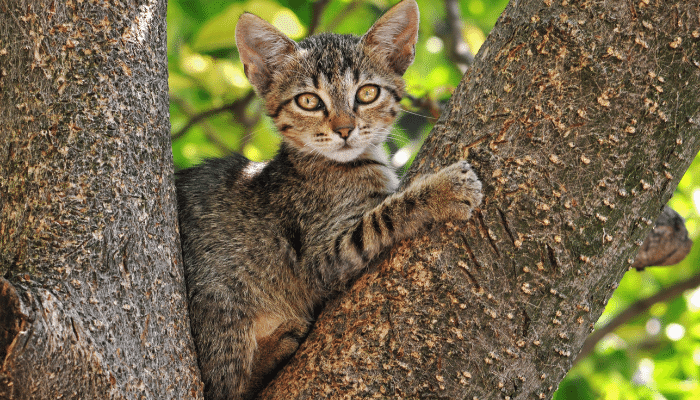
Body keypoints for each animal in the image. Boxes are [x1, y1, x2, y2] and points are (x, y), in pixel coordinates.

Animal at [175, 1, 482, 398]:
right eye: (308, 101)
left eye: (367, 94)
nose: (344, 129)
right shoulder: (318, 259)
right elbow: (384, 215)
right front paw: (445, 189)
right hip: (224, 296)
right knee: (228, 387)